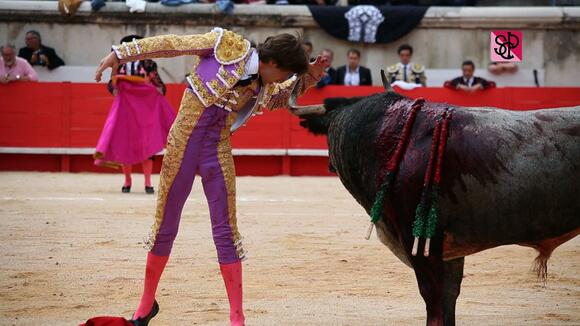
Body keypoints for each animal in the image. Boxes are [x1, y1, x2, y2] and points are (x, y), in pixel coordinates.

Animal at [296, 91, 576, 326]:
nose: (329, 165)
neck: (392, 139)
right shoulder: (448, 251)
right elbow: (449, 298)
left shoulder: (420, 242)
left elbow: (434, 300)